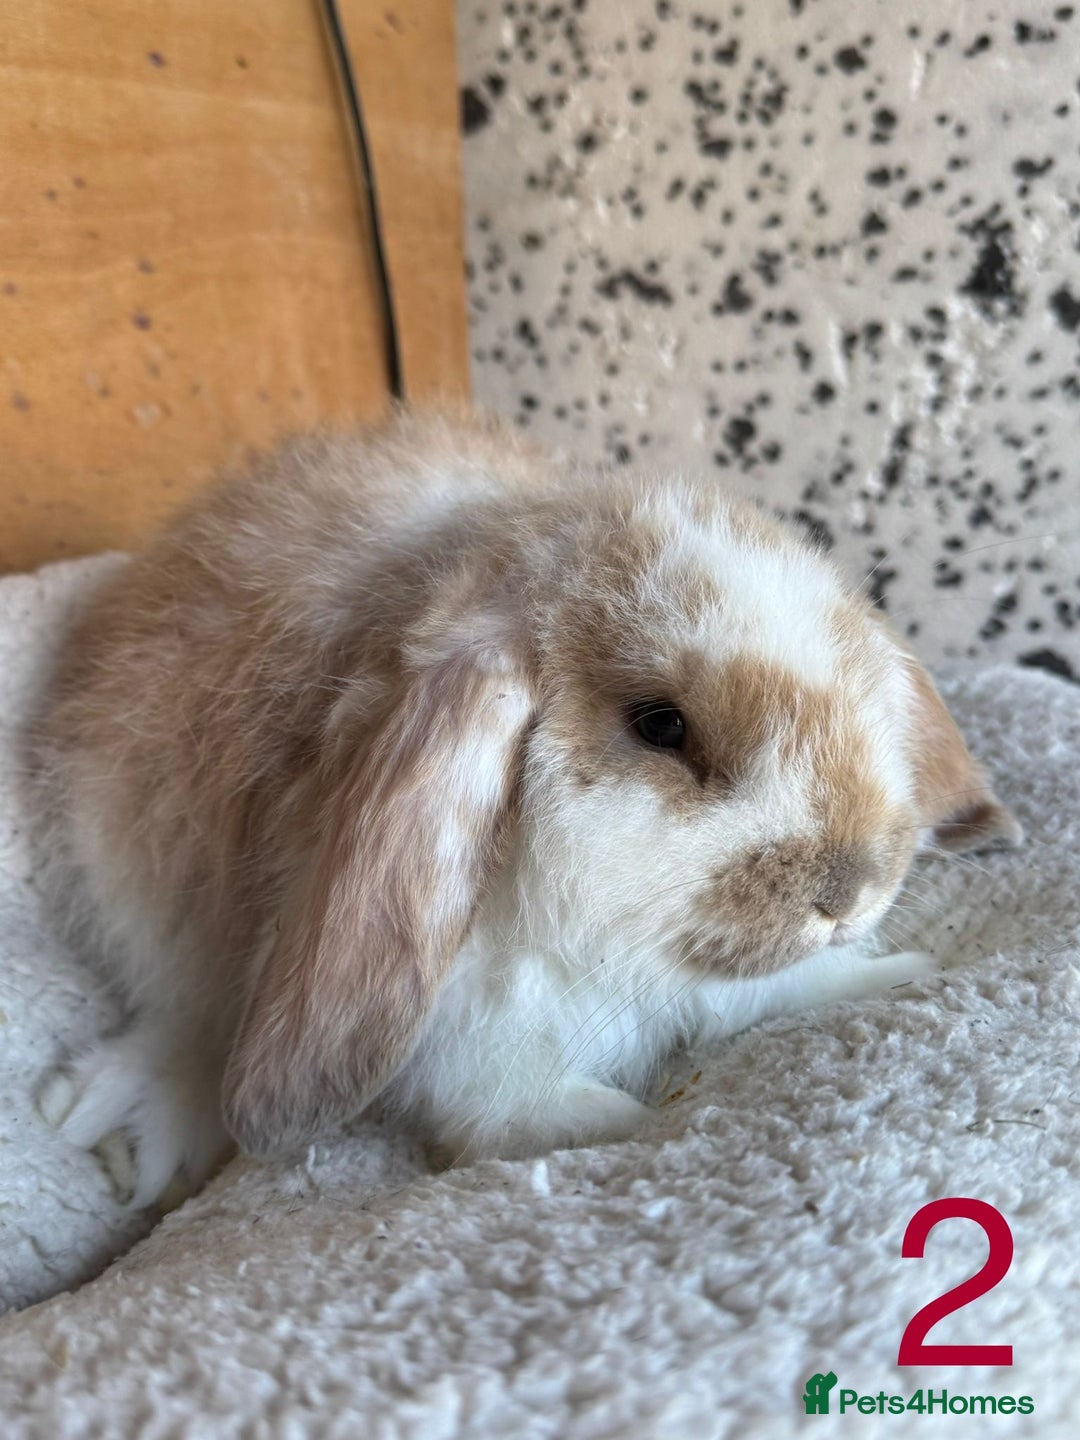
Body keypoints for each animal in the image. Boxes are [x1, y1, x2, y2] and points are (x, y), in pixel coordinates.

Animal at [33, 405, 1021, 1205]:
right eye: (661, 725)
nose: (850, 890)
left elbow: (797, 988)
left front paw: (906, 972)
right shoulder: (470, 1049)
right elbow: (536, 1116)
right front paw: (638, 1125)